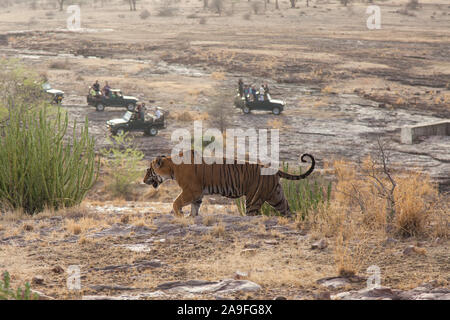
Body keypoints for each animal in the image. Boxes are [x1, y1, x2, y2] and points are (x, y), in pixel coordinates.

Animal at [142, 151, 314, 218]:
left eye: (148, 170)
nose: (143, 181)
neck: (171, 167)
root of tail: (273, 169)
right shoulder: (197, 193)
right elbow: (194, 207)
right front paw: (191, 216)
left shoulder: (191, 190)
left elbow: (176, 202)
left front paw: (180, 215)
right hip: (277, 197)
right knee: (288, 211)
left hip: (253, 200)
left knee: (253, 214)